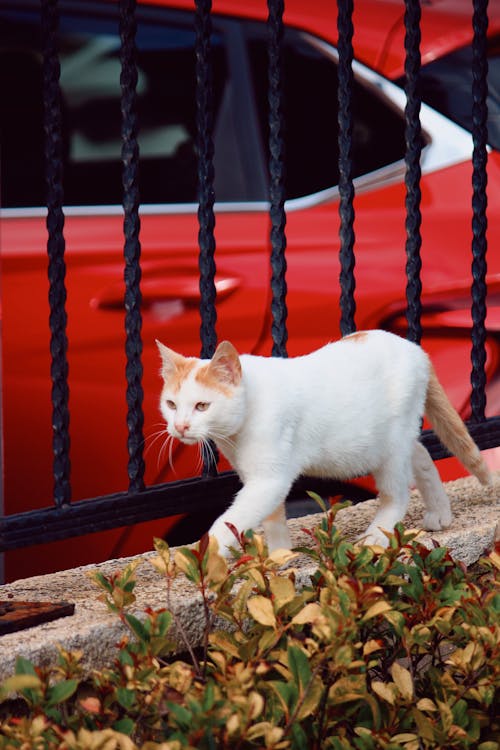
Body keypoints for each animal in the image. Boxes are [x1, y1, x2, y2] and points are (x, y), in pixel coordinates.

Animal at [157, 332, 492, 556]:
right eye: (171, 404)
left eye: (202, 406)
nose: (180, 426)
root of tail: (415, 349)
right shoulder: (263, 477)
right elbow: (273, 518)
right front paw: (279, 557)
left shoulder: (268, 479)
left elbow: (230, 520)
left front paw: (204, 557)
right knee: (421, 454)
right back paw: (439, 513)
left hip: (391, 448)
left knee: (397, 493)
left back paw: (377, 535)